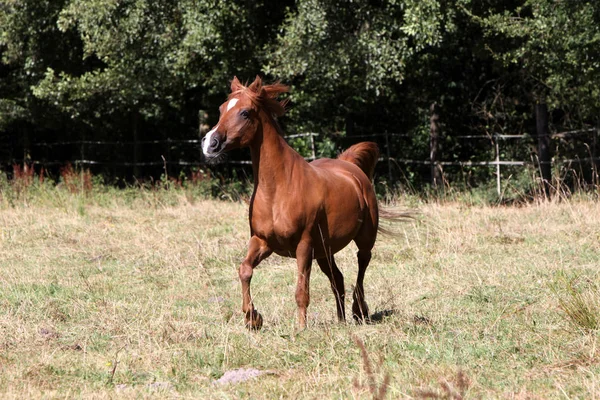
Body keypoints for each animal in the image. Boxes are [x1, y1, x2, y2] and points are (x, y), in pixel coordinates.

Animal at [204, 76, 384, 330]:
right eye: (221, 109)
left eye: (245, 112)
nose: (210, 144)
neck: (279, 189)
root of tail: (351, 166)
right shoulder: (262, 241)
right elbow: (245, 270)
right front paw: (253, 318)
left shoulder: (304, 245)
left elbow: (301, 290)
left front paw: (301, 328)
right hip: (325, 251)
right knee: (337, 279)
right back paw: (341, 320)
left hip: (364, 239)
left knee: (362, 263)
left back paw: (358, 312)